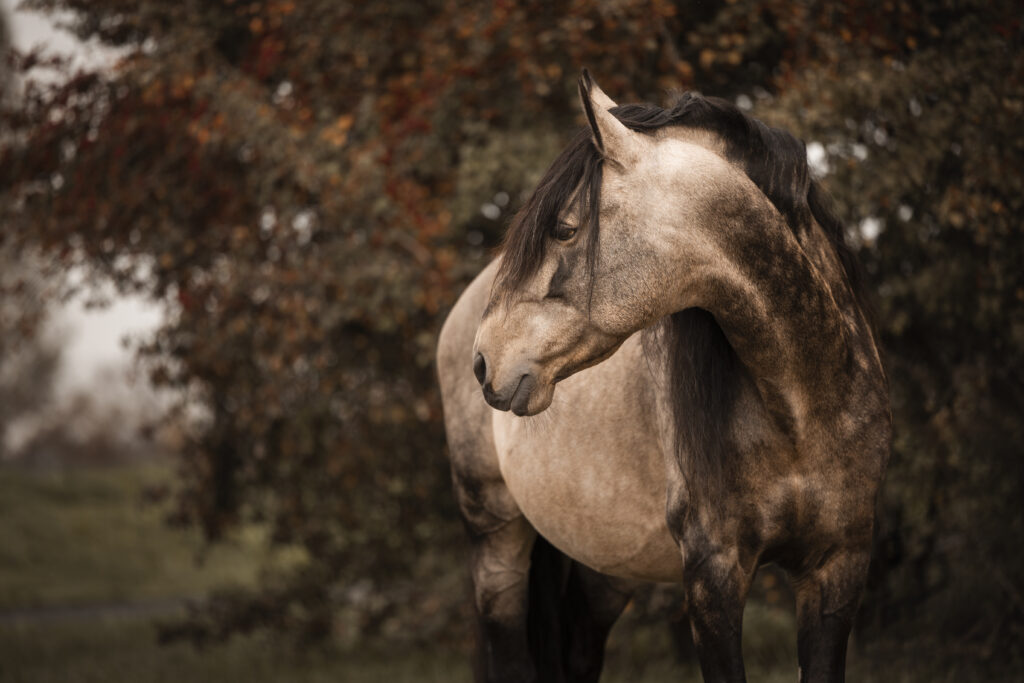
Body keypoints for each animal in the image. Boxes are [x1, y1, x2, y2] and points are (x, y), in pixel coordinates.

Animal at [436, 70, 892, 683]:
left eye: (564, 229)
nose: (485, 361)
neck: (805, 407)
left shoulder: (838, 568)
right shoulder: (712, 573)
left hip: (604, 566)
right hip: (496, 541)